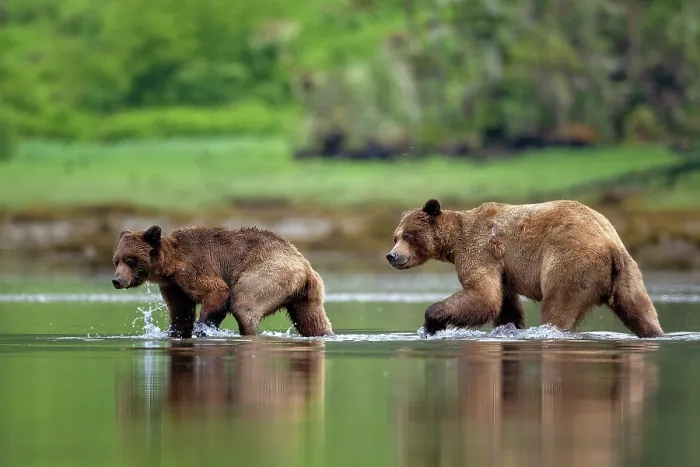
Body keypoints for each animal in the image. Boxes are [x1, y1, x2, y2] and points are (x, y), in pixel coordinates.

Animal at [111, 225, 334, 339]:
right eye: (116, 260)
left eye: (130, 260)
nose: (116, 280)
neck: (169, 266)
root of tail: (305, 266)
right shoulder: (173, 286)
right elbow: (181, 313)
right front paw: (176, 332)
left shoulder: (193, 268)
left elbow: (217, 292)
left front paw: (203, 327)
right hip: (306, 294)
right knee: (311, 319)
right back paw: (324, 333)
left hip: (268, 273)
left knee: (243, 304)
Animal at [385, 198, 664, 338]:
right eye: (395, 236)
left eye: (408, 236)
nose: (392, 256)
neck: (455, 241)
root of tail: (609, 245)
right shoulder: (502, 268)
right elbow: (504, 304)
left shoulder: (480, 250)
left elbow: (482, 295)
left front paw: (432, 321)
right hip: (628, 273)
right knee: (640, 310)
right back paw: (655, 333)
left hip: (569, 263)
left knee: (559, 306)